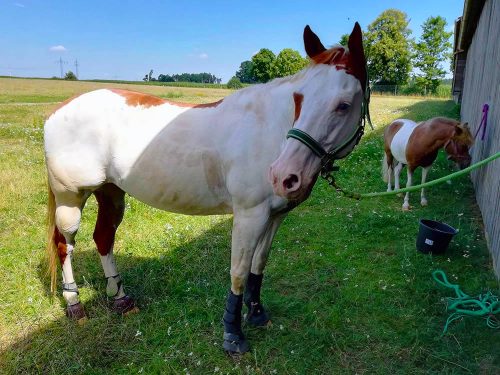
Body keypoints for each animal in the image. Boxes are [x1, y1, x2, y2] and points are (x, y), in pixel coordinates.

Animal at [45, 24, 370, 356]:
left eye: (343, 105)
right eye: (300, 98)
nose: (284, 176)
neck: (272, 129)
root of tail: (58, 111)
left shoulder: (275, 216)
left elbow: (259, 265)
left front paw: (257, 314)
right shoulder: (249, 215)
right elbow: (239, 272)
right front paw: (233, 335)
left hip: (111, 194)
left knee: (103, 238)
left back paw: (121, 300)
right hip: (70, 199)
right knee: (64, 244)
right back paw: (74, 305)